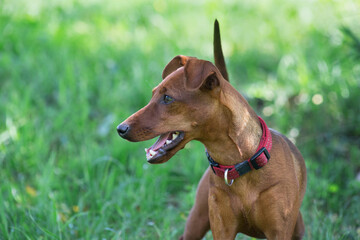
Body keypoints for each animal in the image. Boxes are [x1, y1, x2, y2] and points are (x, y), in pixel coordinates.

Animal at [117, 21, 306, 240]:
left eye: (167, 98)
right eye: (153, 94)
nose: (120, 129)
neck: (238, 163)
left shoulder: (278, 232)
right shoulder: (222, 228)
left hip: (297, 228)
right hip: (196, 221)